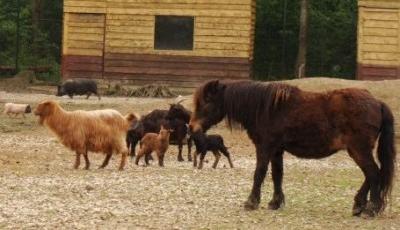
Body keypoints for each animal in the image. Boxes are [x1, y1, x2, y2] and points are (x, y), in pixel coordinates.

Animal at [189, 80, 396, 217]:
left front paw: (251, 202)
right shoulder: (277, 150)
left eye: (206, 102)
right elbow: (277, 175)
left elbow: (259, 173)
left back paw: (371, 209)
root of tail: (377, 102)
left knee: (374, 174)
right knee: (372, 175)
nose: (192, 127)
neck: (266, 109)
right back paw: (359, 206)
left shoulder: (265, 148)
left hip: (359, 150)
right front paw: (275, 202)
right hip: (357, 151)